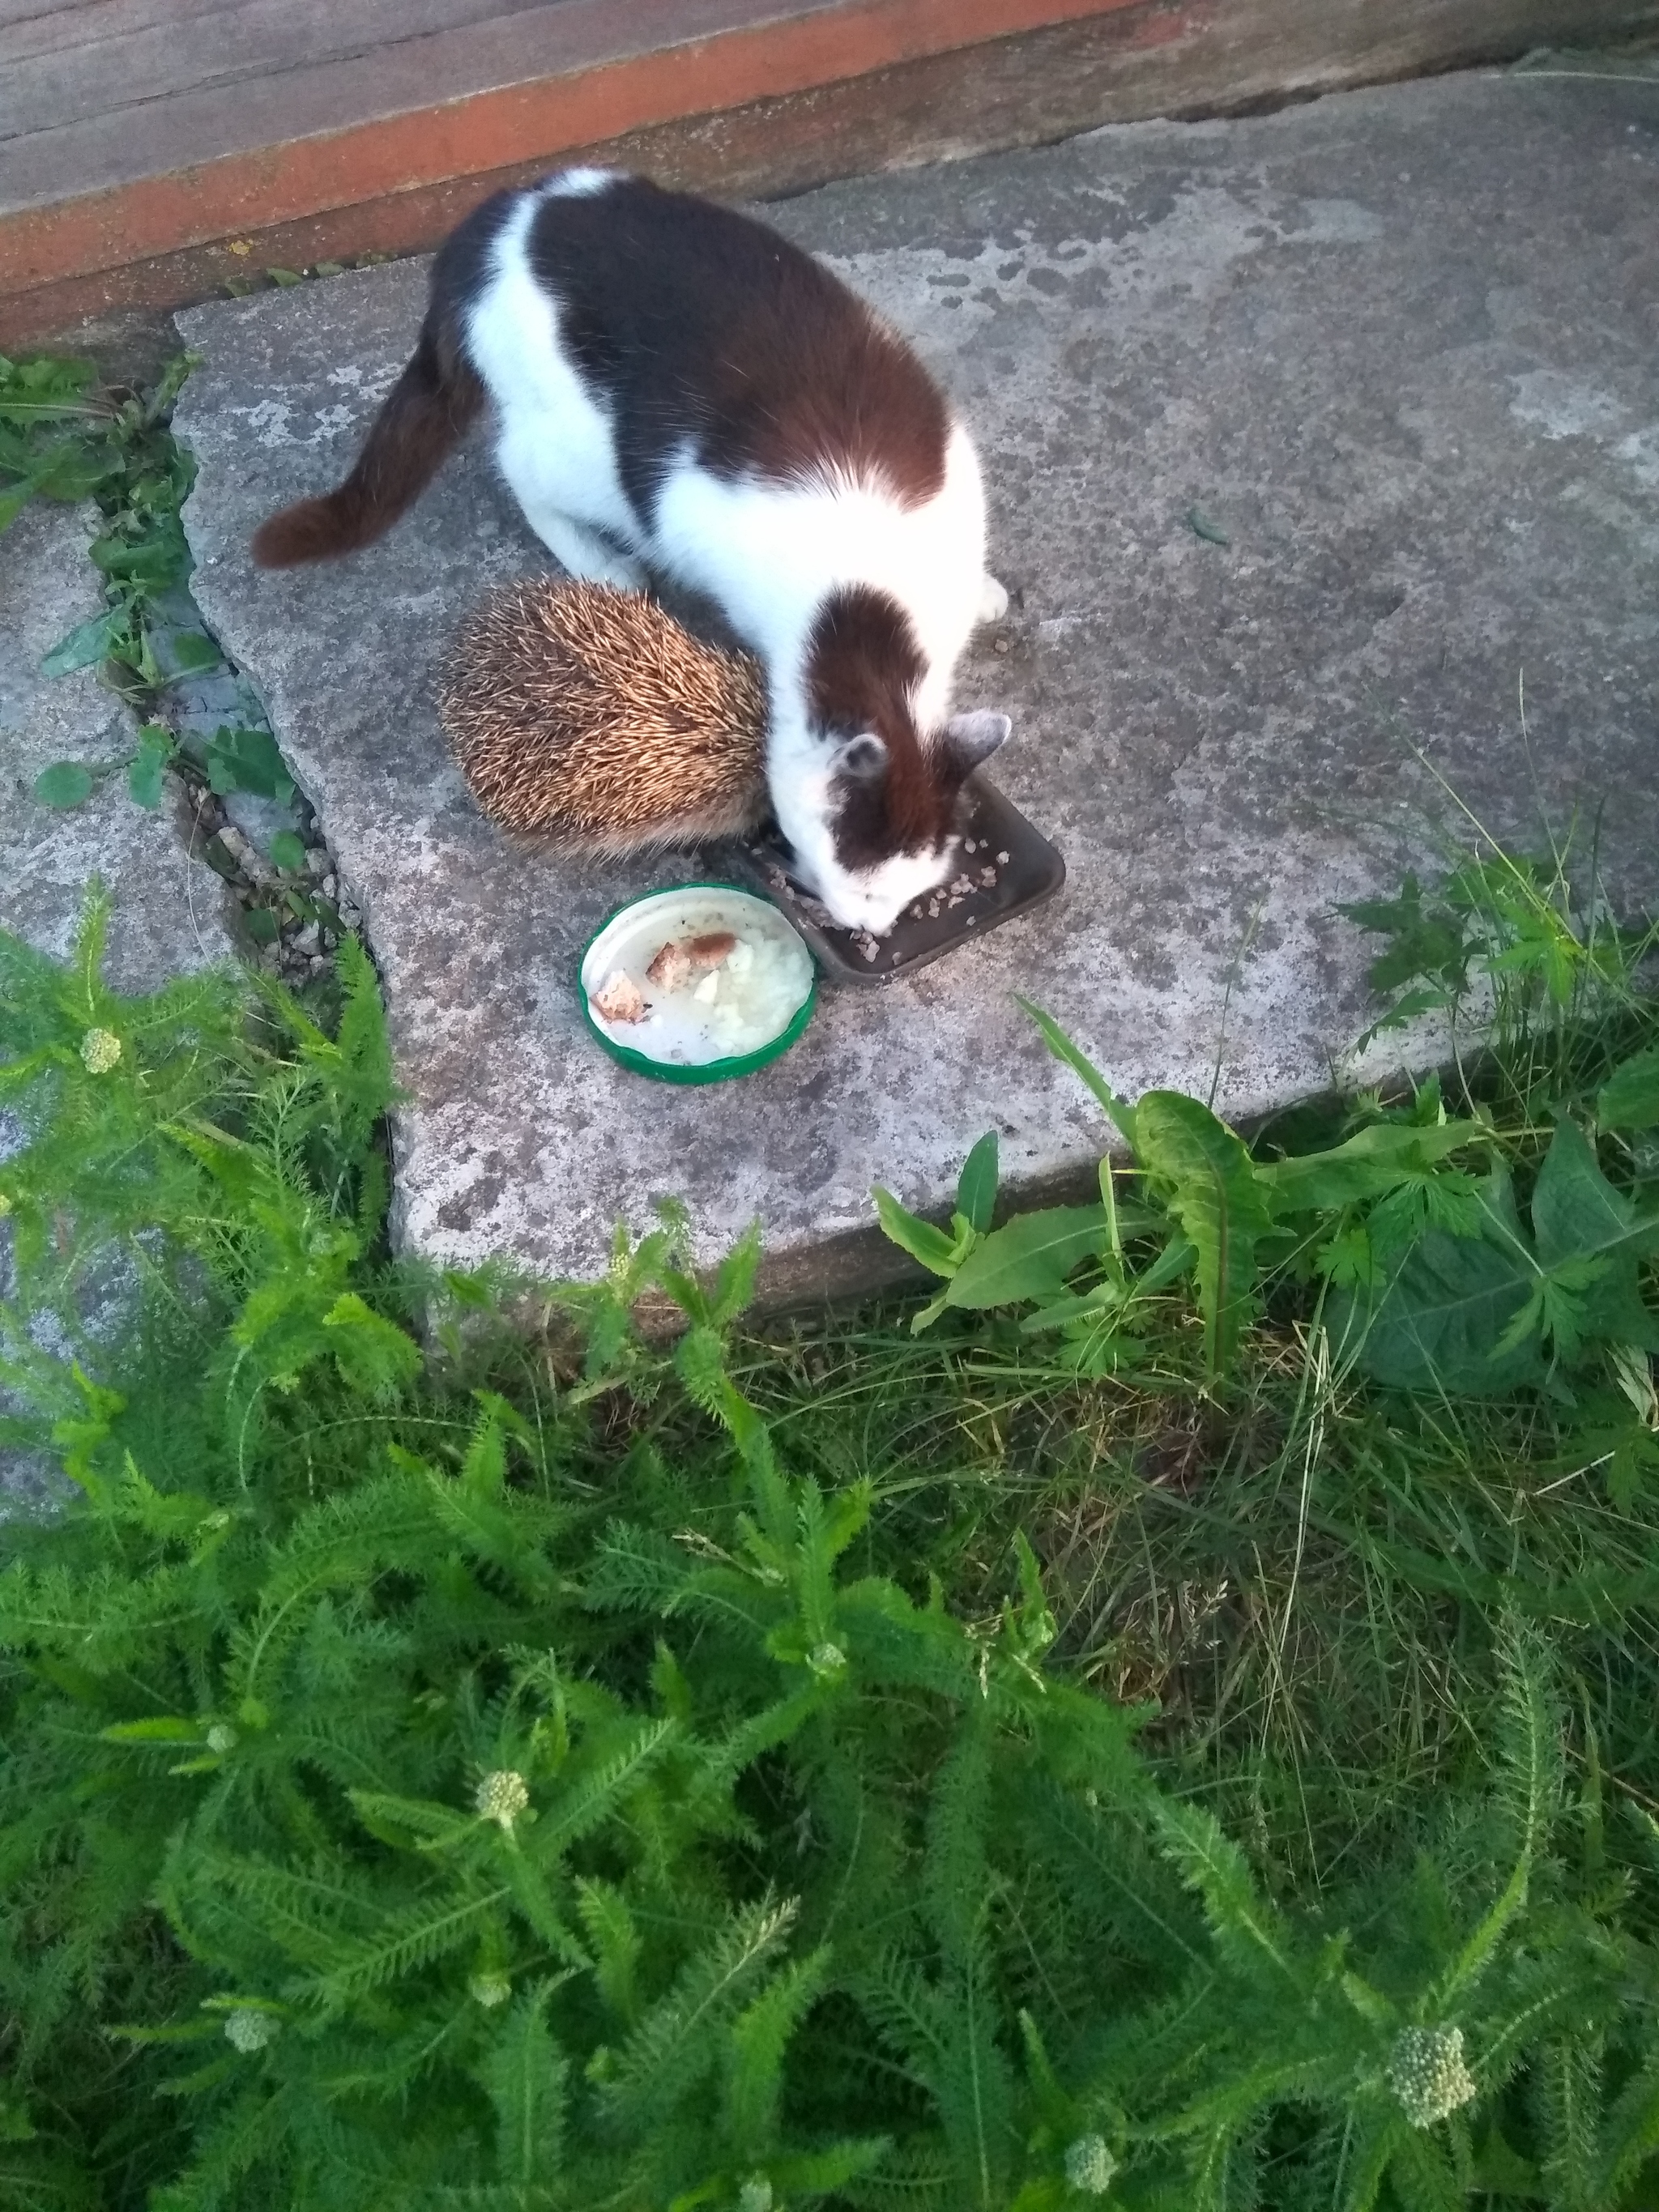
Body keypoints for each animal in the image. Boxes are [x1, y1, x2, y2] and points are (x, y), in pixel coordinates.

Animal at [255, 165, 1013, 933]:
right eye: (857, 884)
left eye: (901, 890)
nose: (869, 927)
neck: (872, 606)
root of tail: (496, 219)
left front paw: (983, 593)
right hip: (591, 453)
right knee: (517, 464)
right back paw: (598, 558)